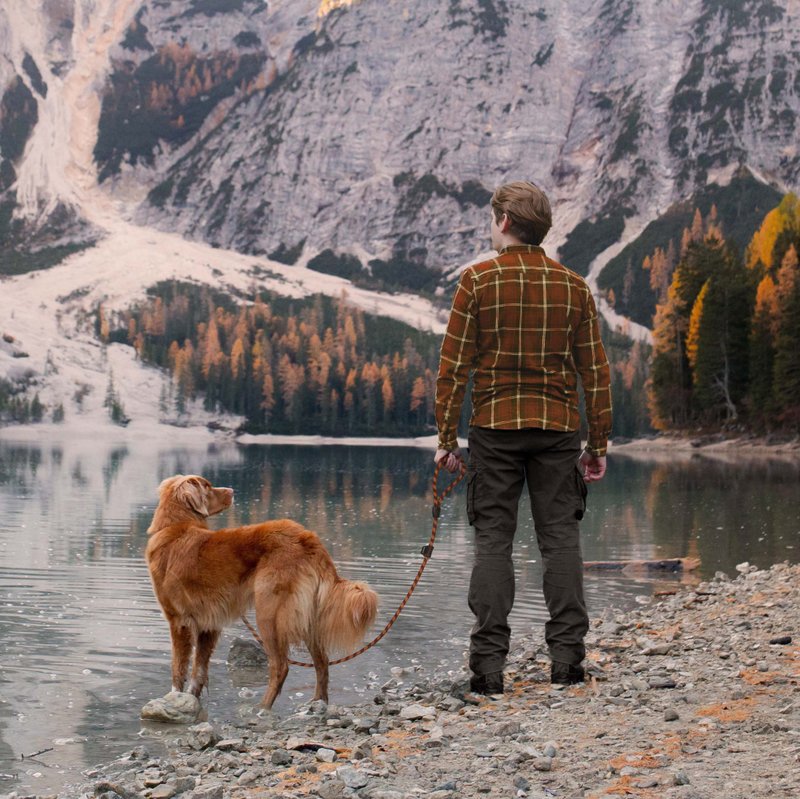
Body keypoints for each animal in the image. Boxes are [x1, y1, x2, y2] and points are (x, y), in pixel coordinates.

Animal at [146, 476, 378, 708]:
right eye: (208, 487)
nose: (231, 490)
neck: (175, 527)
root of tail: (307, 537)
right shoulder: (208, 626)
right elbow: (198, 671)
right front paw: (191, 700)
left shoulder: (179, 621)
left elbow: (178, 667)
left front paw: (172, 699)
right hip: (307, 617)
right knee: (322, 663)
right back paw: (315, 704)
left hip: (269, 614)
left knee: (280, 666)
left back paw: (262, 708)